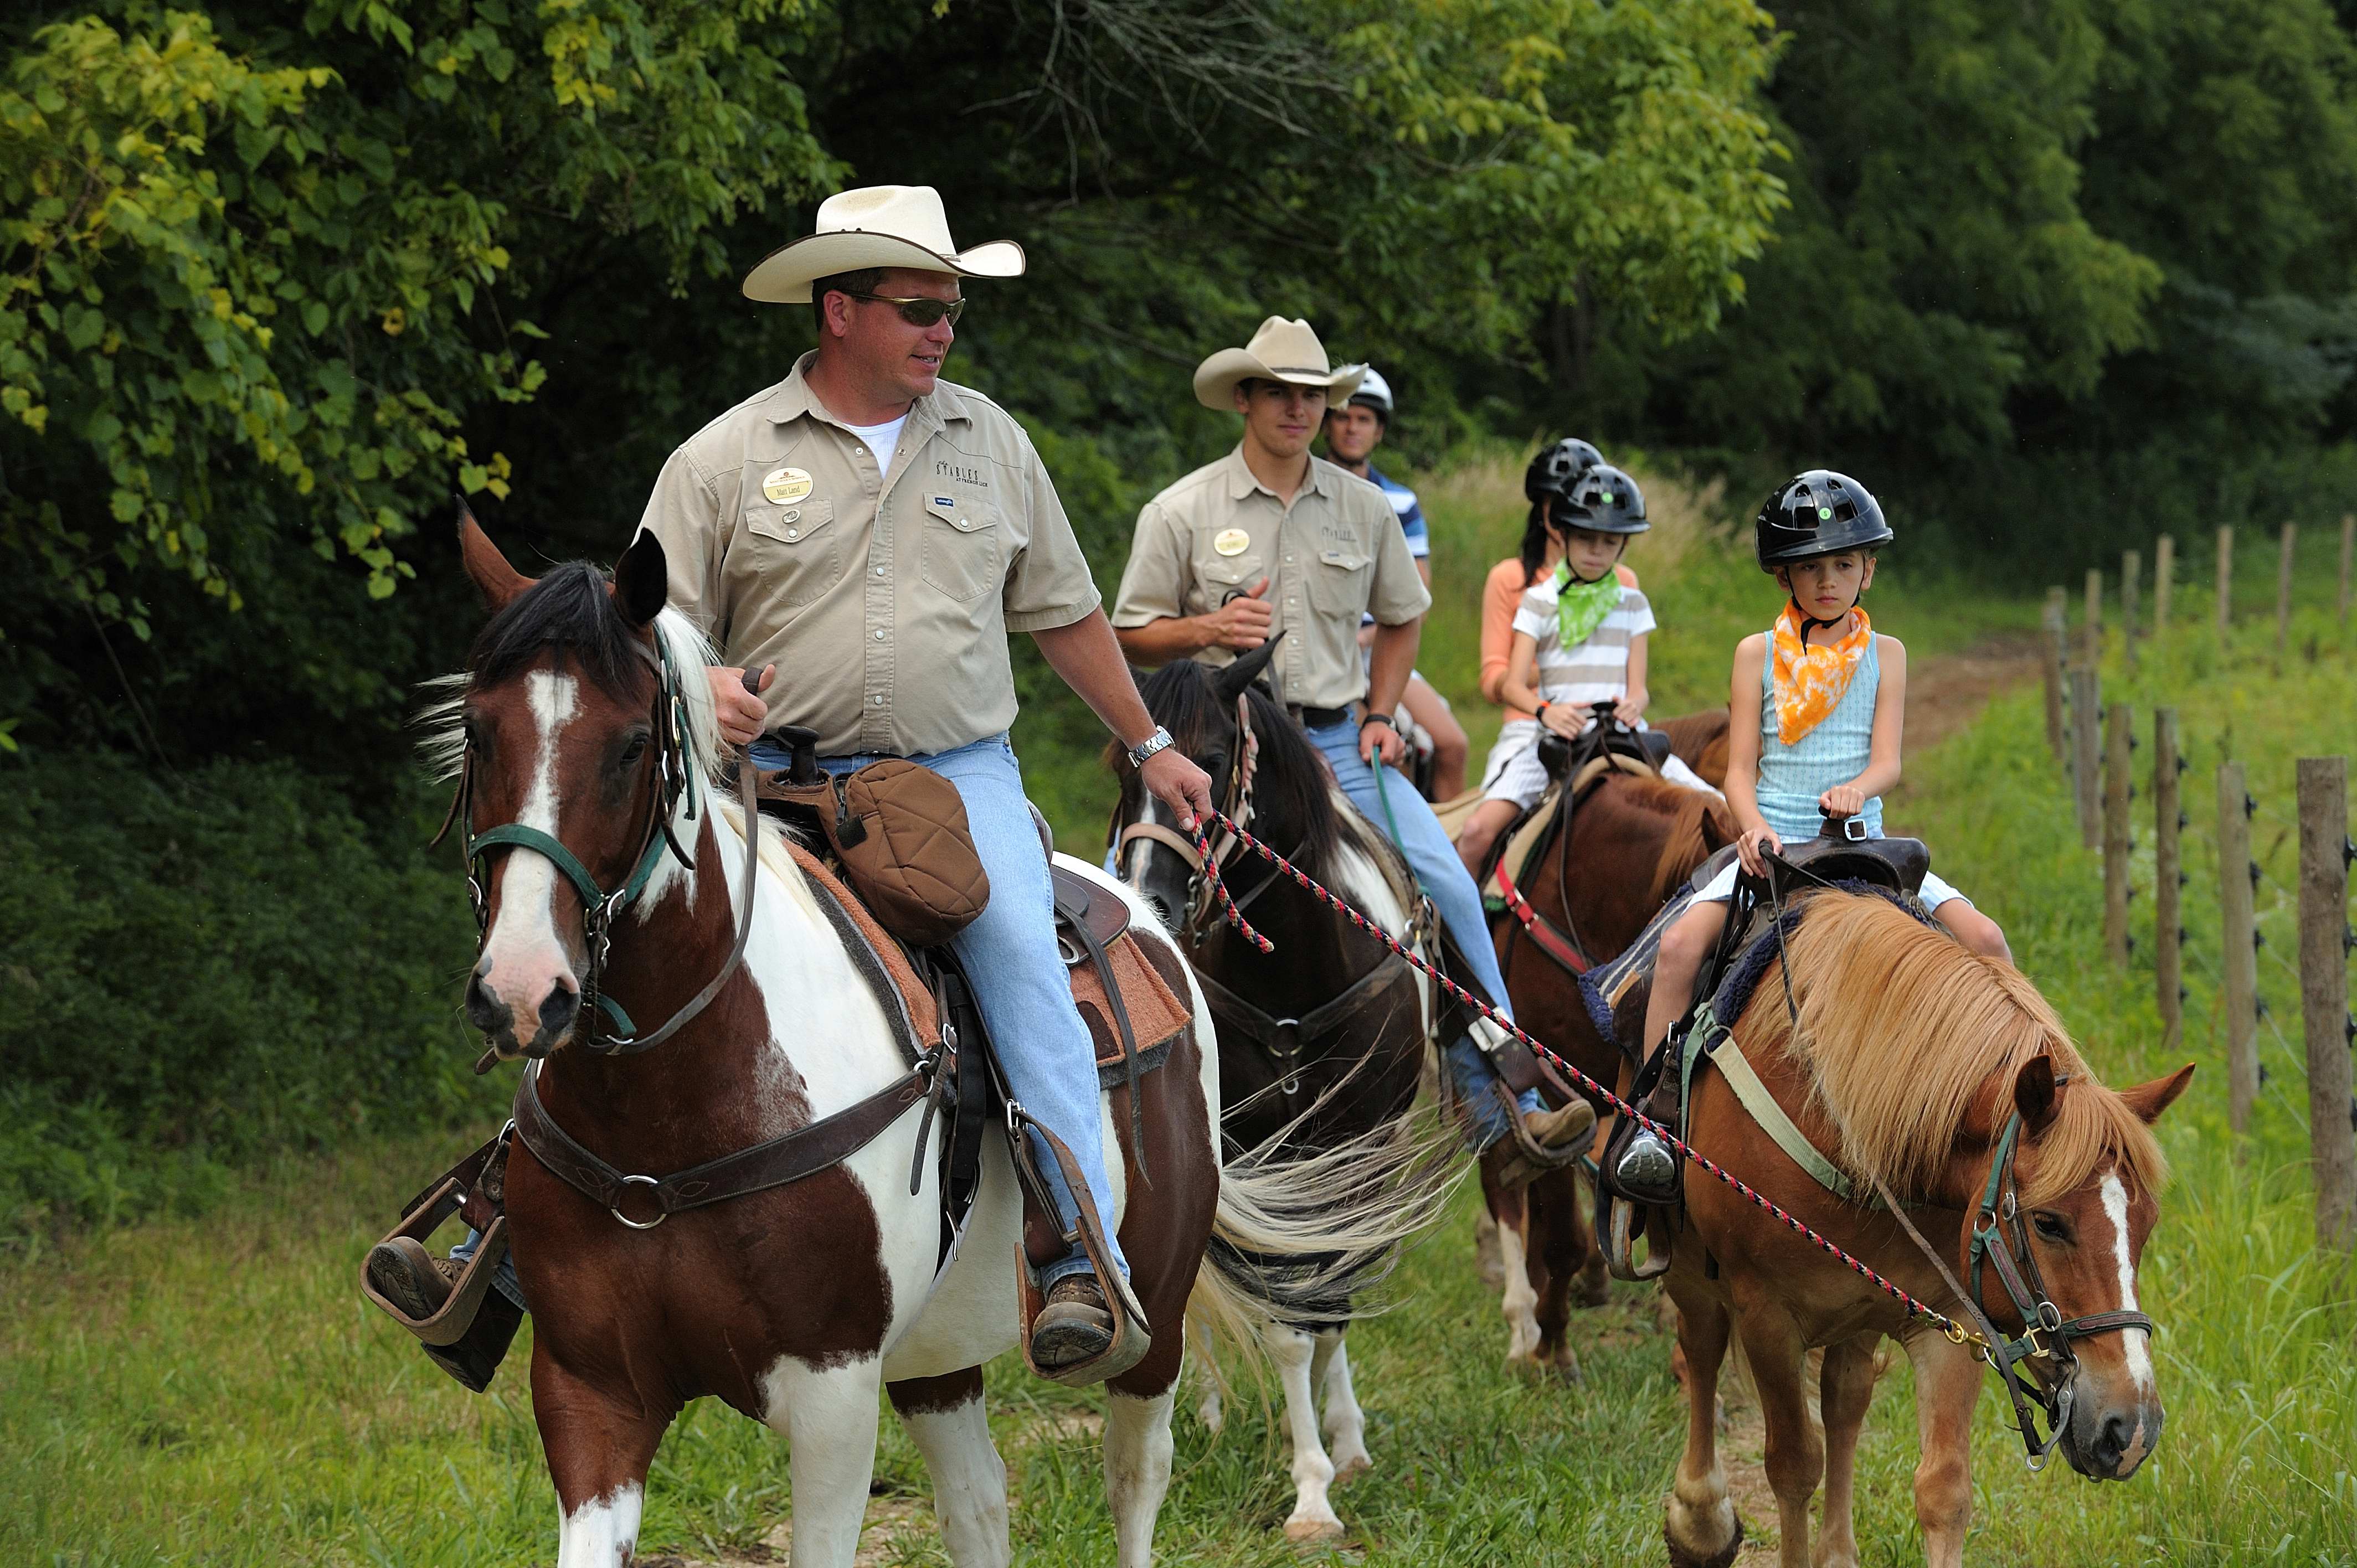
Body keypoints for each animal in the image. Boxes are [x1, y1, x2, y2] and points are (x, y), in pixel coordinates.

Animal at [443, 516, 1433, 1565]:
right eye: (477, 730)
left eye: (633, 746)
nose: (523, 989)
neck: (671, 1109)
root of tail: (1148, 920)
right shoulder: (590, 1393)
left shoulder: (832, 1394)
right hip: (935, 1356)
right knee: (978, 1502)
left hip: (1151, 1320)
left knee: (1139, 1477)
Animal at [1659, 891, 2187, 1565]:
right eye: (2048, 1223)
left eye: (2146, 1226)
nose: (2131, 1428)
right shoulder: (1765, 1315)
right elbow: (1792, 1465)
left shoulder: (1955, 1318)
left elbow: (1943, 1490)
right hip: (1688, 1266)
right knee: (1700, 1347)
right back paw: (1699, 1519)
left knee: (1845, 1400)